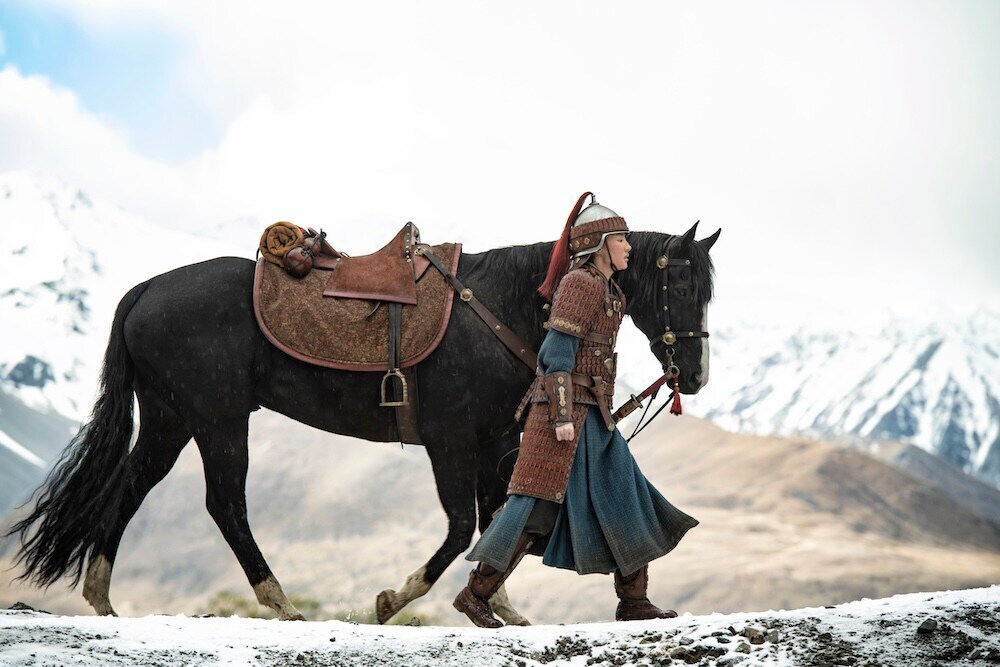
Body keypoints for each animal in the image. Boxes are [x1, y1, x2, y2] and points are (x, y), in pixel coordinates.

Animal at [3, 227, 716, 624]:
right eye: (682, 285)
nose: (696, 374)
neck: (498, 305)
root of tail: (144, 290)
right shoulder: (450, 441)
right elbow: (462, 528)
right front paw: (393, 600)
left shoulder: (492, 440)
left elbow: (498, 520)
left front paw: (500, 605)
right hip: (218, 420)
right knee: (225, 505)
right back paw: (281, 602)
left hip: (170, 418)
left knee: (128, 488)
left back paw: (101, 596)